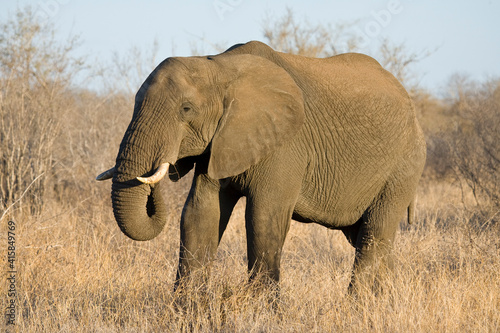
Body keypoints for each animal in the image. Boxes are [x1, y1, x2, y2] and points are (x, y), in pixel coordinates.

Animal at [96, 40, 426, 292]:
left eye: (186, 109)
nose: (159, 173)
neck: (220, 66)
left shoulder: (285, 144)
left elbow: (262, 218)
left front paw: (265, 315)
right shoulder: (219, 143)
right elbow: (199, 214)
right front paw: (185, 311)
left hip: (404, 165)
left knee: (374, 235)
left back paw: (356, 309)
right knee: (368, 239)